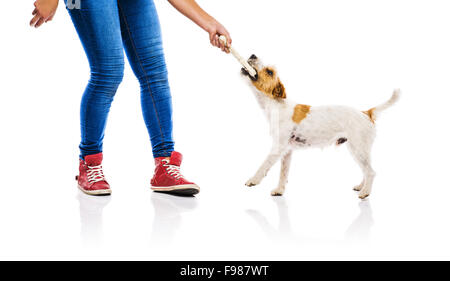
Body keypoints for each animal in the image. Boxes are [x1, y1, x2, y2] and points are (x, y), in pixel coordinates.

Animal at [241, 54, 400, 198]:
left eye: (270, 72)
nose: (253, 55)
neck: (275, 104)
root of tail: (366, 113)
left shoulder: (277, 148)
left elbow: (264, 165)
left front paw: (253, 180)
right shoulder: (287, 151)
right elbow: (283, 173)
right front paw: (279, 190)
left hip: (358, 149)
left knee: (371, 172)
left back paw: (365, 192)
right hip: (358, 150)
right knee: (365, 171)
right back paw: (361, 186)